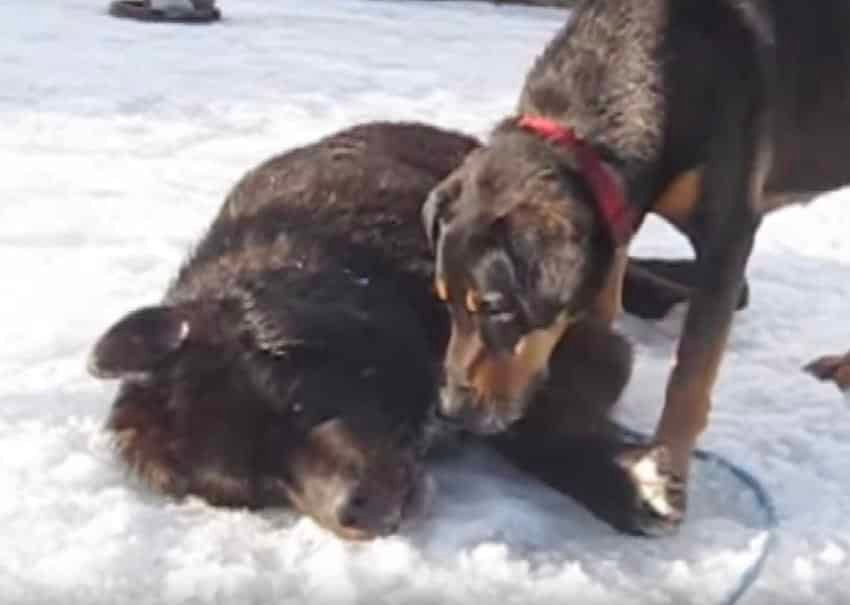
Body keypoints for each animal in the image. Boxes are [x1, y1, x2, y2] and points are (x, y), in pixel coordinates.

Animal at [428, 0, 848, 528]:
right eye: (444, 301)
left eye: (497, 307)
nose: (450, 409)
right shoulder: (616, 219)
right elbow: (604, 307)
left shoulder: (728, 236)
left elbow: (689, 377)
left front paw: (667, 469)